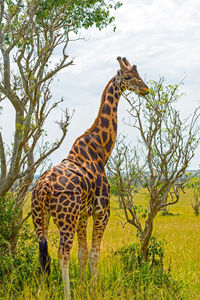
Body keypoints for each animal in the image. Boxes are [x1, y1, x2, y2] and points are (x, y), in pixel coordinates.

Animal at [32, 56, 149, 298]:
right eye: (129, 77)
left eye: (139, 75)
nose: (146, 89)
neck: (101, 151)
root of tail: (43, 187)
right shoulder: (102, 212)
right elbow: (94, 252)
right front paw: (93, 289)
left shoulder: (83, 216)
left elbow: (83, 253)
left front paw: (83, 286)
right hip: (65, 218)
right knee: (62, 253)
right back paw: (66, 295)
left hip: (40, 216)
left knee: (42, 253)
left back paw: (42, 291)